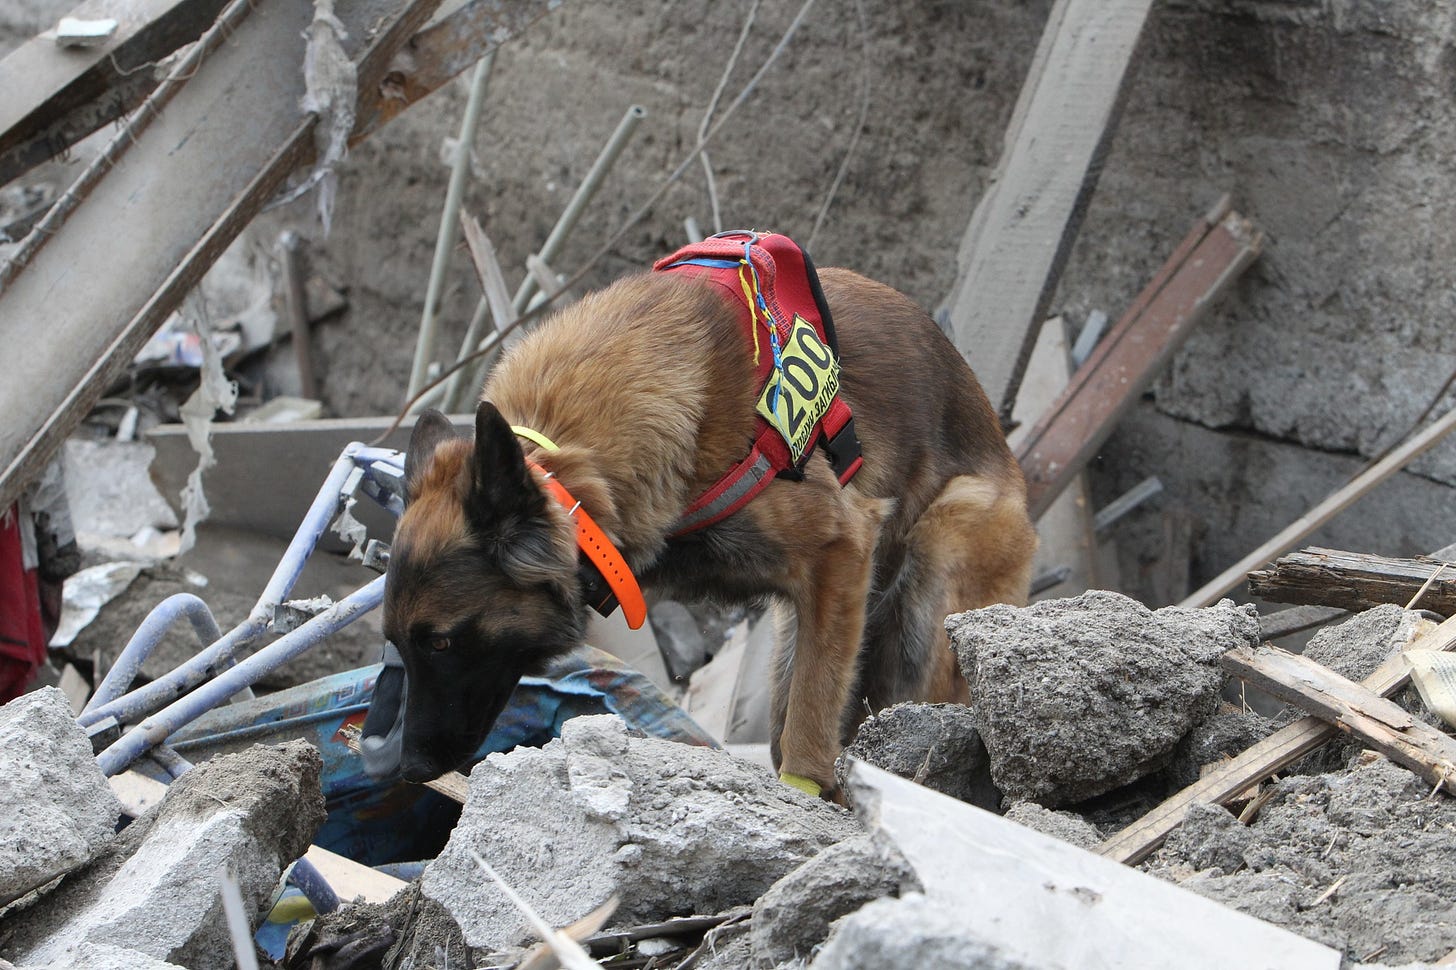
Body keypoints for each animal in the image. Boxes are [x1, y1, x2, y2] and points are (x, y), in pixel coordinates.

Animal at [369, 233, 1042, 792]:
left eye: (443, 643)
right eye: (397, 644)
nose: (404, 769)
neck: (571, 470)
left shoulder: (842, 550)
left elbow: (809, 721)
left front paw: (802, 791)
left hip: (938, 563)